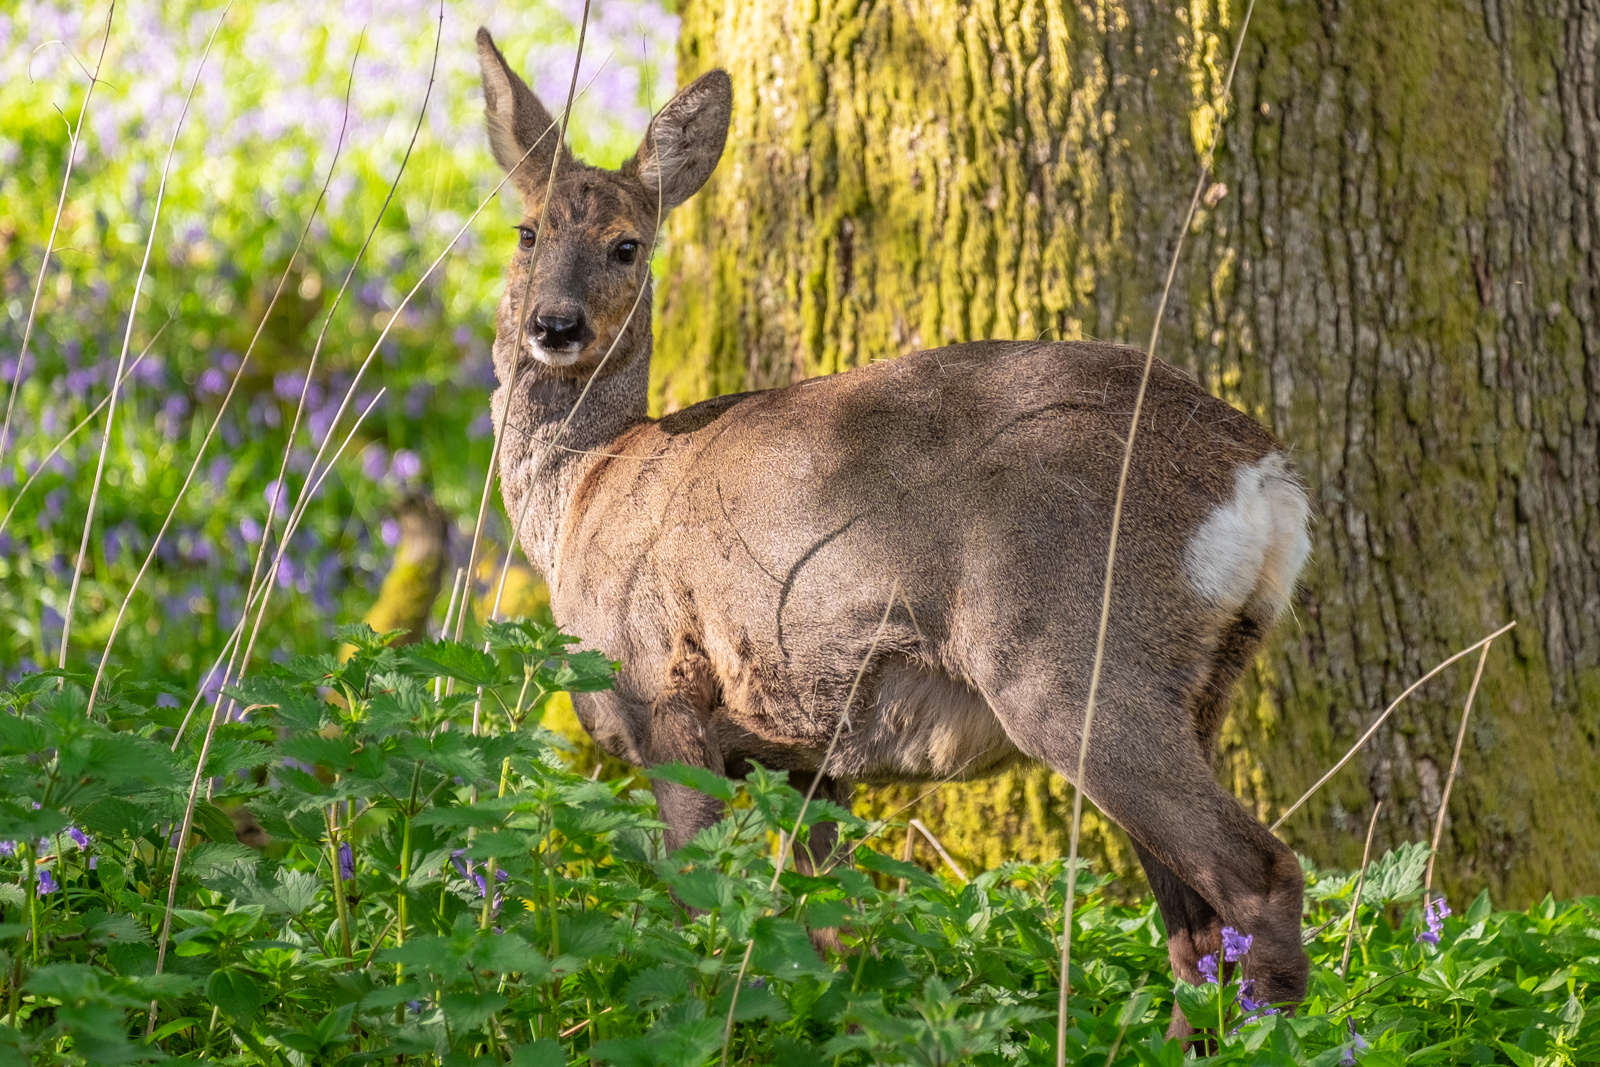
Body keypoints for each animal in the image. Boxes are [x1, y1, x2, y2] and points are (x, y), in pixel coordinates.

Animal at [473, 28, 1313, 1031]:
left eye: (626, 245)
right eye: (527, 231)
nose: (554, 325)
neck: (588, 488)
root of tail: (1263, 477)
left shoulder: (663, 683)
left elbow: (697, 907)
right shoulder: (798, 752)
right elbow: (826, 927)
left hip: (1070, 657)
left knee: (1258, 876)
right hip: (1196, 683)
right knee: (1196, 930)